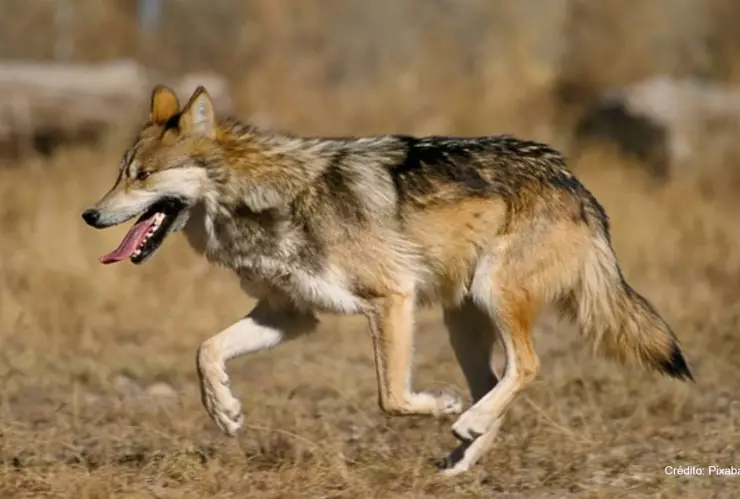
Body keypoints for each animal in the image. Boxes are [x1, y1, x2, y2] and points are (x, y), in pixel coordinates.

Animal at [81, 85, 693, 475]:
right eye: (119, 174)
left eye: (143, 176)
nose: (89, 214)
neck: (265, 199)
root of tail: (572, 180)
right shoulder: (290, 315)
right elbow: (206, 350)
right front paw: (225, 411)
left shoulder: (390, 299)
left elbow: (391, 397)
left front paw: (440, 405)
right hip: (462, 321)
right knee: (497, 381)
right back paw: (461, 457)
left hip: (492, 297)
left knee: (526, 367)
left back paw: (463, 422)